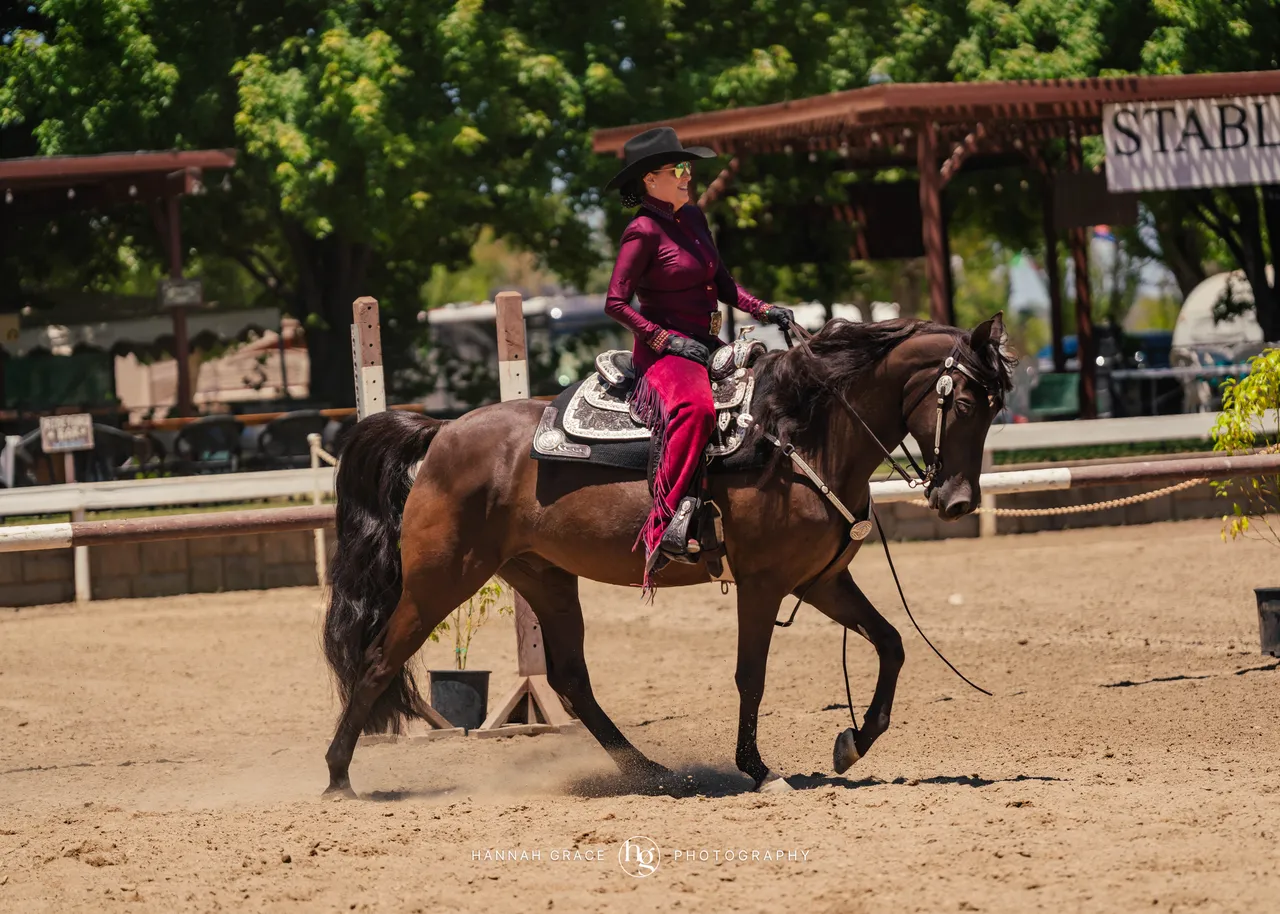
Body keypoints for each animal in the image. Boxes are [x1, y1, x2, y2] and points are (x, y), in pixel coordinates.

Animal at [321, 314, 1015, 796]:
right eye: (965, 402)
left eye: (995, 407)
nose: (957, 501)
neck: (800, 434)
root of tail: (442, 432)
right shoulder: (764, 585)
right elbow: (751, 676)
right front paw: (759, 770)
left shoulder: (820, 581)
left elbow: (892, 643)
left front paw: (853, 743)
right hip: (441, 580)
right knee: (379, 660)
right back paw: (337, 777)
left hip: (545, 578)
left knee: (572, 681)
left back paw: (651, 772)